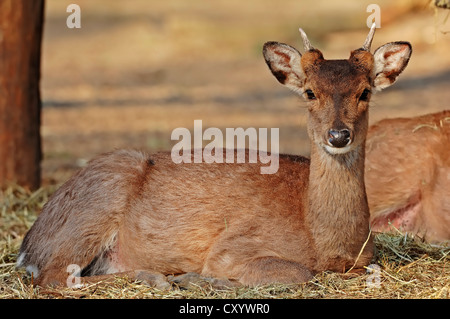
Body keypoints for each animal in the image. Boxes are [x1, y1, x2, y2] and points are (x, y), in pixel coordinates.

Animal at [16, 25, 412, 288]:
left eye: (364, 92)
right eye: (310, 92)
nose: (338, 135)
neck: (327, 242)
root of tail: (27, 247)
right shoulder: (233, 245)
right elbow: (298, 273)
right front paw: (200, 278)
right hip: (93, 207)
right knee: (55, 279)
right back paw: (162, 278)